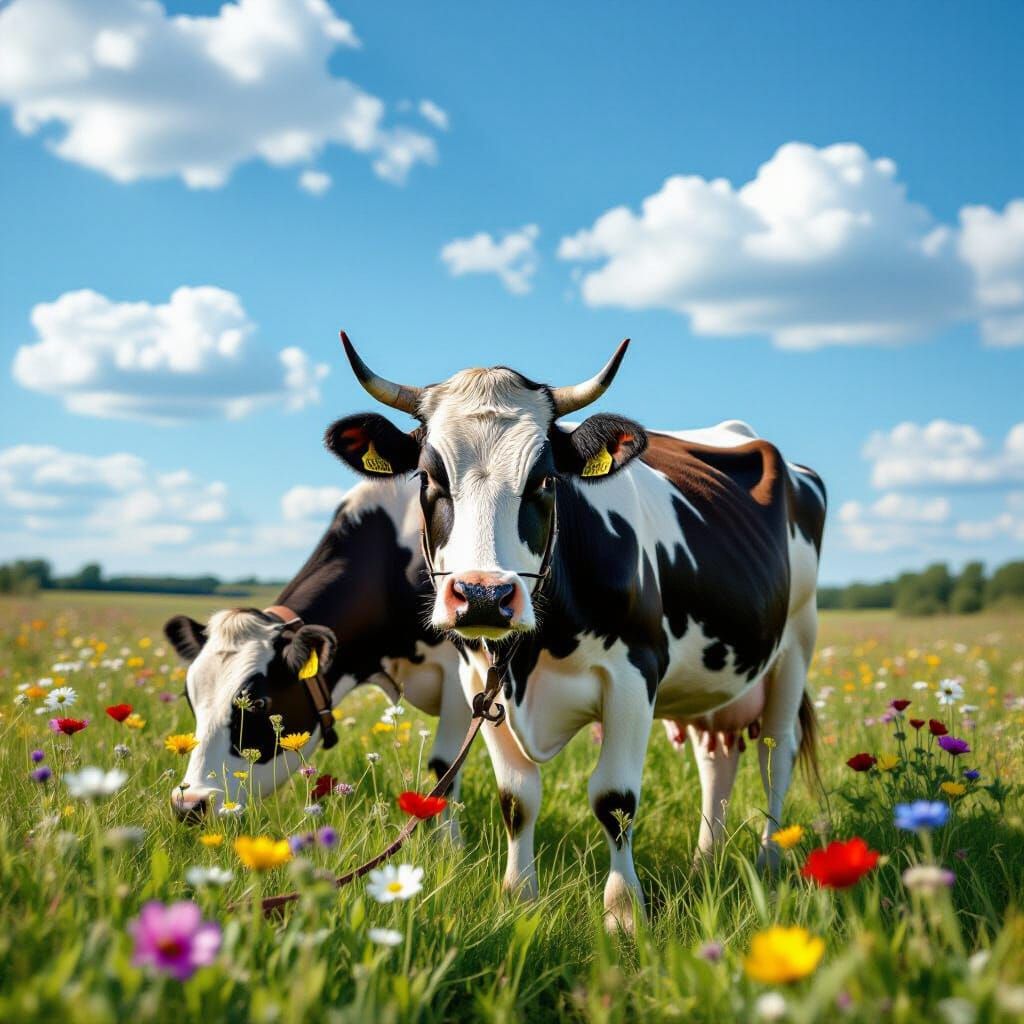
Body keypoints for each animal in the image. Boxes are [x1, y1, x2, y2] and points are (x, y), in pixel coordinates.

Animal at [325, 334, 826, 931]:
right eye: (429, 478)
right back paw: (707, 861)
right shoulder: (478, 682)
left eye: (544, 479)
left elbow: (614, 799)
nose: (484, 596)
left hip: (796, 643)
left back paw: (769, 860)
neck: (533, 656)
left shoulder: (635, 675)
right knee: (716, 758)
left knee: (777, 753)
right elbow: (517, 799)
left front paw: (624, 912)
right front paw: (519, 899)